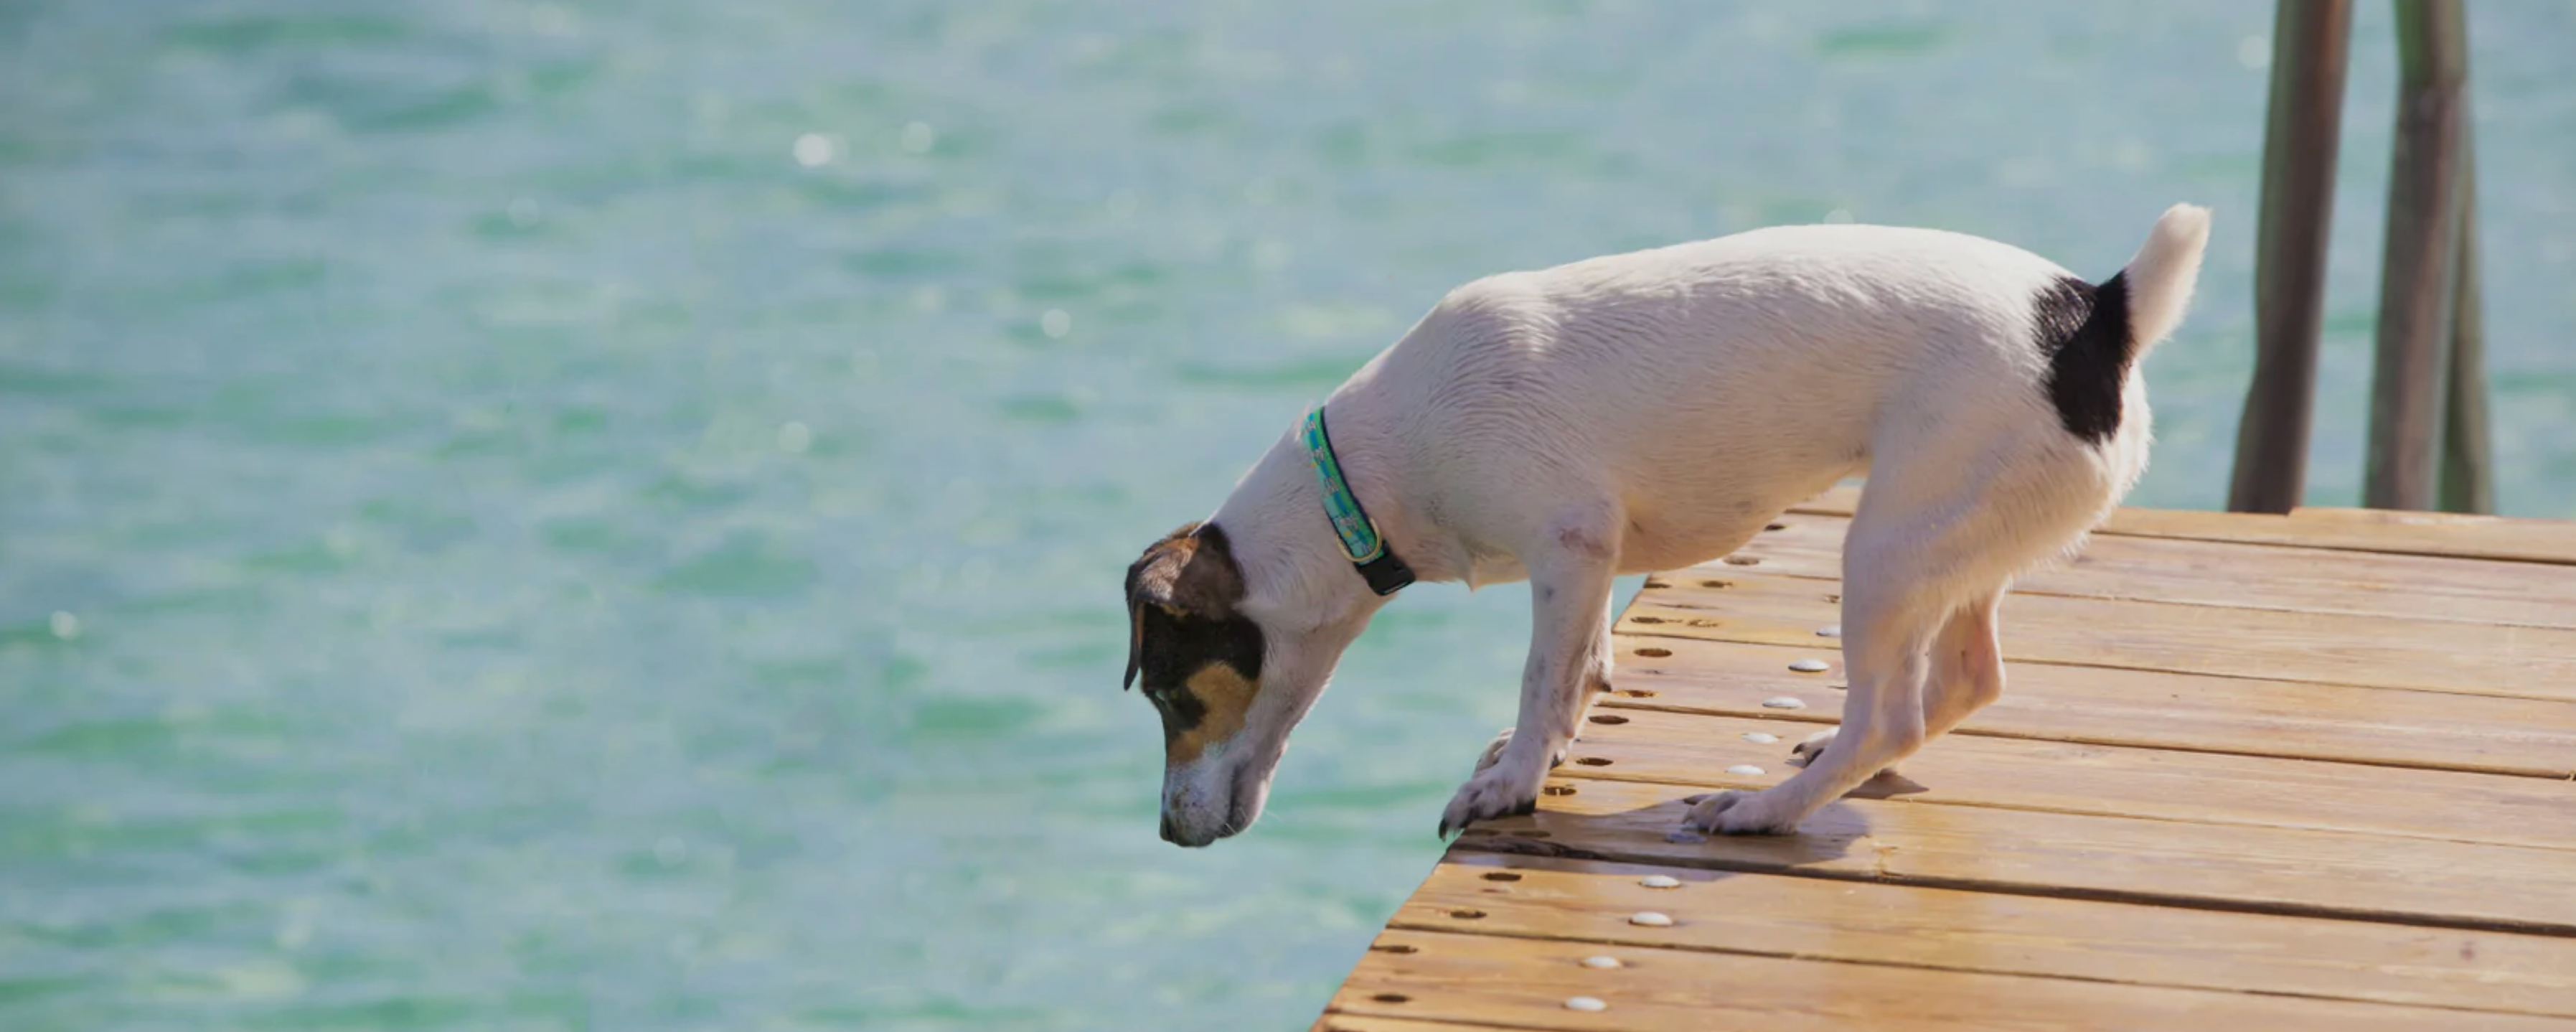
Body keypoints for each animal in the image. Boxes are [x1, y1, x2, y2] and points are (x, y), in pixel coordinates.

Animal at [1128, 203, 2215, 844]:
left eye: (1173, 697)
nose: (1169, 832)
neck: (1368, 472)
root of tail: (2095, 312)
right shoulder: (1591, 560)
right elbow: (1578, 670)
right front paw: (1550, 741)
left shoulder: (1566, 543)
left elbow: (1539, 679)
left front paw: (1512, 779)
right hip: (1954, 542)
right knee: (1967, 679)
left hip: (1883, 550)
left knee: (1890, 711)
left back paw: (1764, 808)